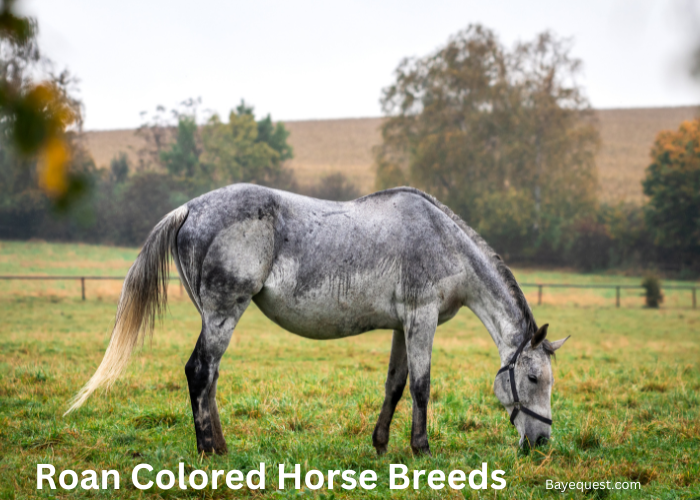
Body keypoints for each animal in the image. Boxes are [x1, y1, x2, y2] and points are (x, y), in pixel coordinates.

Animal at [66, 184, 569, 455]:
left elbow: (395, 384)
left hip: (215, 317)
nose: (542, 443)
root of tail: (190, 208)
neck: (441, 240)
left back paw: (221, 448)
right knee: (199, 371)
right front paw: (421, 448)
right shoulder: (421, 319)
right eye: (533, 378)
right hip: (224, 313)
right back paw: (208, 451)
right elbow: (422, 387)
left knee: (209, 377)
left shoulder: (402, 326)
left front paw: (381, 444)